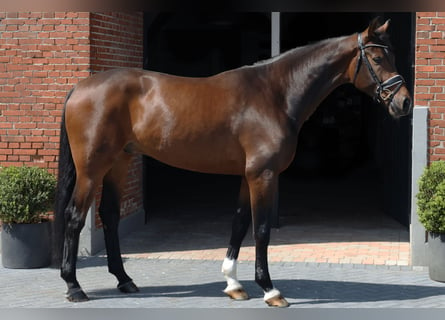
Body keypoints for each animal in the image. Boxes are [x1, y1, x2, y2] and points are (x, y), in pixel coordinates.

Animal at [53, 18, 412, 308]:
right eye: (377, 58)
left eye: (392, 56)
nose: (405, 102)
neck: (275, 94)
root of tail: (80, 87)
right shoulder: (263, 175)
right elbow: (262, 229)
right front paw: (270, 290)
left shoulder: (247, 175)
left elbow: (239, 223)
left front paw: (234, 284)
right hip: (91, 169)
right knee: (74, 216)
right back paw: (74, 286)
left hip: (119, 163)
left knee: (110, 215)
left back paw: (125, 280)